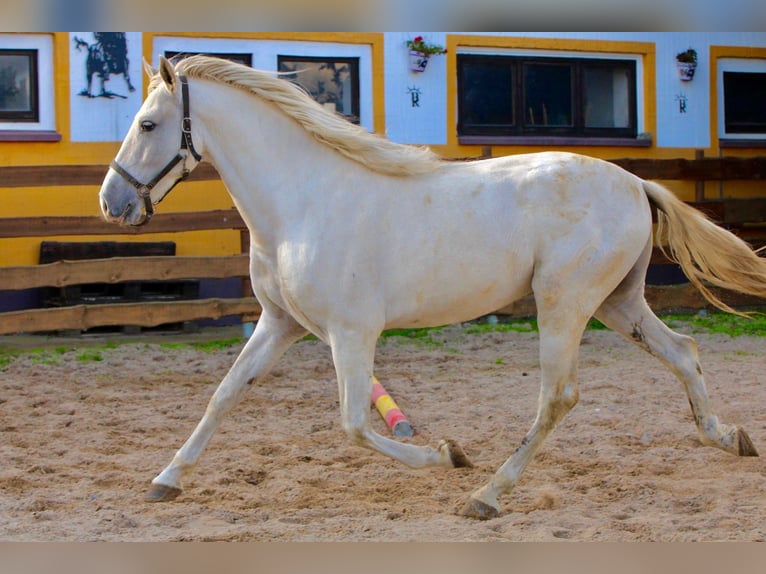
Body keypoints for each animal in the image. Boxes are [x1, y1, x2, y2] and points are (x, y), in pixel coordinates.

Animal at [98, 55, 766, 520]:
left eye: (148, 123)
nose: (112, 202)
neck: (304, 203)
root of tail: (634, 183)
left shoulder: (351, 333)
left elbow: (354, 425)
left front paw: (448, 455)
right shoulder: (279, 324)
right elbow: (224, 395)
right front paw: (165, 481)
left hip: (565, 303)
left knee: (559, 396)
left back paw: (486, 495)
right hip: (618, 302)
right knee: (683, 352)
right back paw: (729, 438)